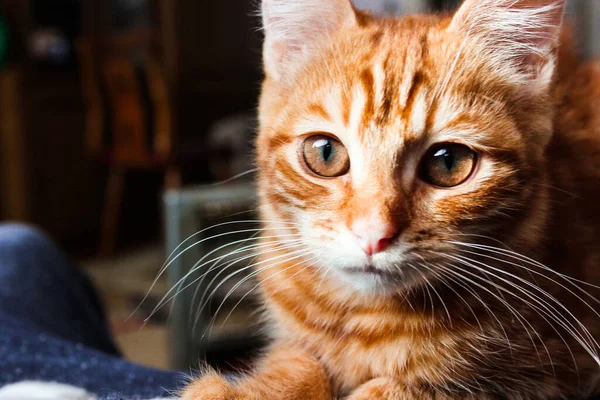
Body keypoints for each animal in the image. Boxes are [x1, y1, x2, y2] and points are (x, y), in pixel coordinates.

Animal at [182, 0, 600, 398]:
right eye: (325, 153)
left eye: (448, 162)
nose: (373, 236)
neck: (363, 320)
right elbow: (299, 360)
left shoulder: (560, 372)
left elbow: (399, 389)